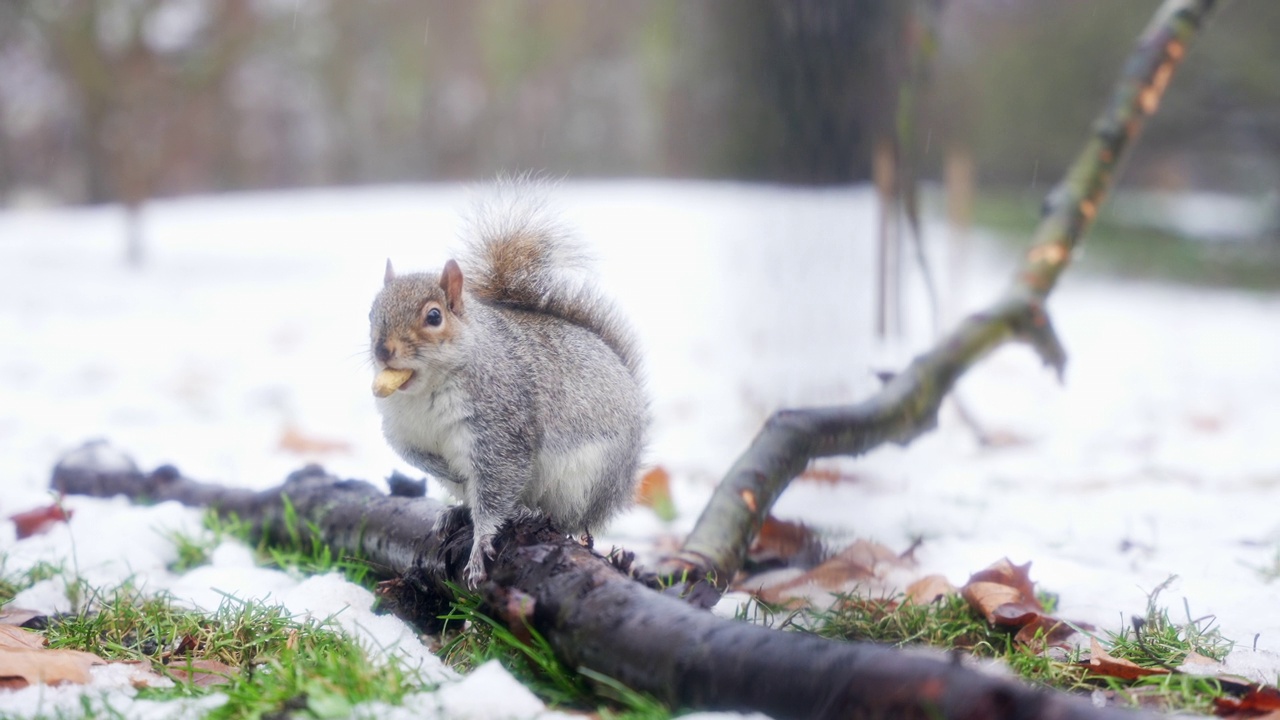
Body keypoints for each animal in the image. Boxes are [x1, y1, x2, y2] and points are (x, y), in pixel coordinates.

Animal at [371, 188, 650, 586]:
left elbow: (497, 485)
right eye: (371, 313)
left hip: (584, 480)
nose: (382, 350)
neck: (424, 391)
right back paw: (457, 511)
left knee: (570, 521)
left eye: (434, 316)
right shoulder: (401, 431)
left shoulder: (500, 425)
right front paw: (447, 472)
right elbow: (417, 457)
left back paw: (530, 514)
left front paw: (480, 545)